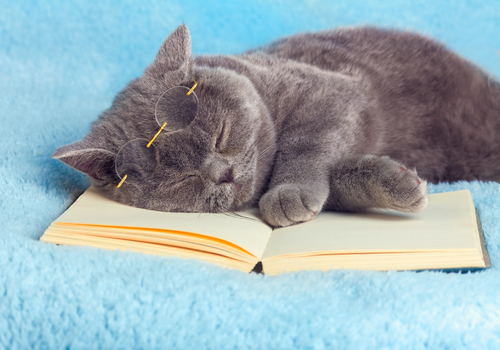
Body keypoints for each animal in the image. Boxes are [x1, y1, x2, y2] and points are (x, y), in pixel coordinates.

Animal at [53, 24, 500, 227]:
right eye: (181, 179)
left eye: (221, 135)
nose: (224, 173)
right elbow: (338, 180)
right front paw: (399, 181)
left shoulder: (331, 91)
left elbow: (303, 145)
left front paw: (289, 193)